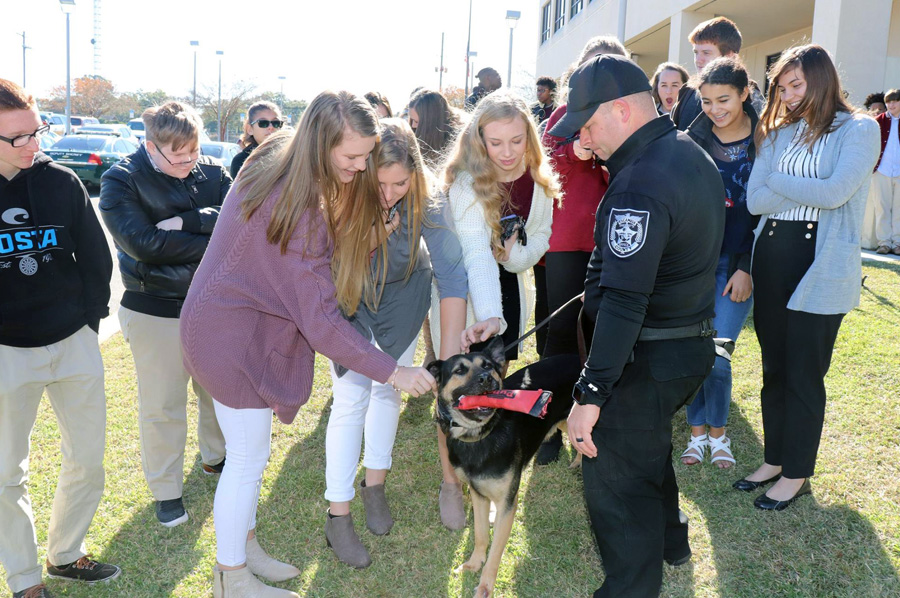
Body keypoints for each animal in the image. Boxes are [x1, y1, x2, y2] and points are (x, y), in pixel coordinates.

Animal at [427, 337, 582, 598]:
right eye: (459, 370)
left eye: (488, 366)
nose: (485, 379)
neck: (480, 435)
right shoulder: (478, 495)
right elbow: (480, 534)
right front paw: (473, 563)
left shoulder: (507, 504)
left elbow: (495, 553)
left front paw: (486, 585)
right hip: (565, 422)